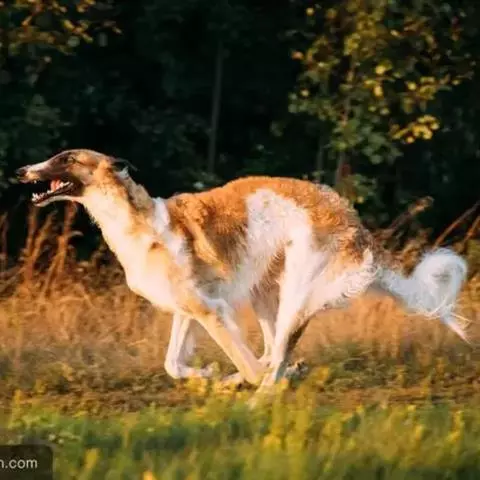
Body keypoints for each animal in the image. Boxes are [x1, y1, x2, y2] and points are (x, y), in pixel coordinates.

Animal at [16, 149, 469, 401]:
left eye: (66, 158)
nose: (20, 171)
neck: (139, 224)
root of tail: (355, 222)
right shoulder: (191, 309)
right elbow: (173, 363)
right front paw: (208, 377)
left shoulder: (209, 310)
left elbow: (246, 365)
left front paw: (230, 381)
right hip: (266, 292)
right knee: (272, 352)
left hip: (295, 294)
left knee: (273, 360)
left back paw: (263, 394)